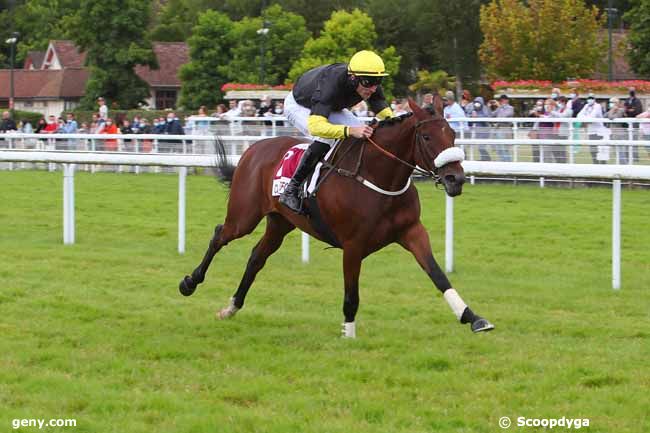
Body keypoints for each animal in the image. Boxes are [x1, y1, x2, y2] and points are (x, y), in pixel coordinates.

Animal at [177, 98, 492, 338]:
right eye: (427, 137)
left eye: (452, 135)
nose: (455, 179)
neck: (379, 177)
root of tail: (253, 148)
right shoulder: (353, 245)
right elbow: (352, 293)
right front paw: (349, 334)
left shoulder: (412, 232)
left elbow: (438, 275)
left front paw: (472, 317)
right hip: (244, 216)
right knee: (220, 235)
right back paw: (190, 283)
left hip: (280, 222)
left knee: (256, 257)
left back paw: (232, 306)